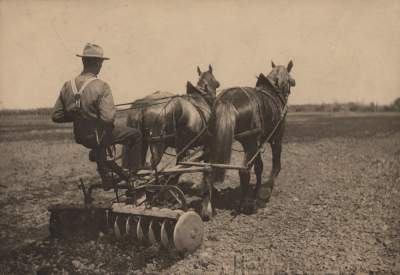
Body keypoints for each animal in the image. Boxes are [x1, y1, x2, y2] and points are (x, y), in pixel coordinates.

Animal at [202, 61, 296, 220]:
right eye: (290, 79)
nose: (293, 83)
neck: (273, 91)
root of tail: (228, 100)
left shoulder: (258, 144)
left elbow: (259, 167)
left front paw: (256, 191)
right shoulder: (276, 139)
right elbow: (275, 166)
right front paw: (265, 191)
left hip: (213, 141)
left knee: (208, 169)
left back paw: (208, 206)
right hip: (249, 143)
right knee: (244, 171)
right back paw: (242, 205)